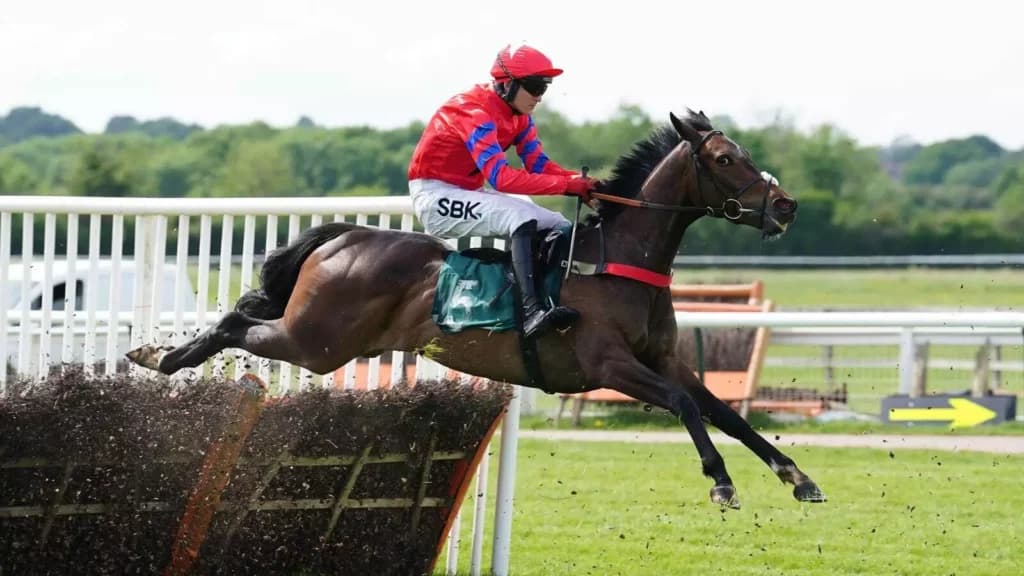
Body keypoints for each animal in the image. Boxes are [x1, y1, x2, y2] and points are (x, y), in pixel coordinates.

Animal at [128, 109, 825, 508]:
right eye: (725, 158)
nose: (786, 205)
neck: (617, 263)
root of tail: (343, 238)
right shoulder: (609, 367)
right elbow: (685, 407)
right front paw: (720, 480)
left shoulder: (666, 361)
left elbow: (726, 413)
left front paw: (797, 477)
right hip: (316, 342)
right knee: (236, 322)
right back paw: (162, 357)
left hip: (324, 341)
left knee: (243, 318)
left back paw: (159, 353)